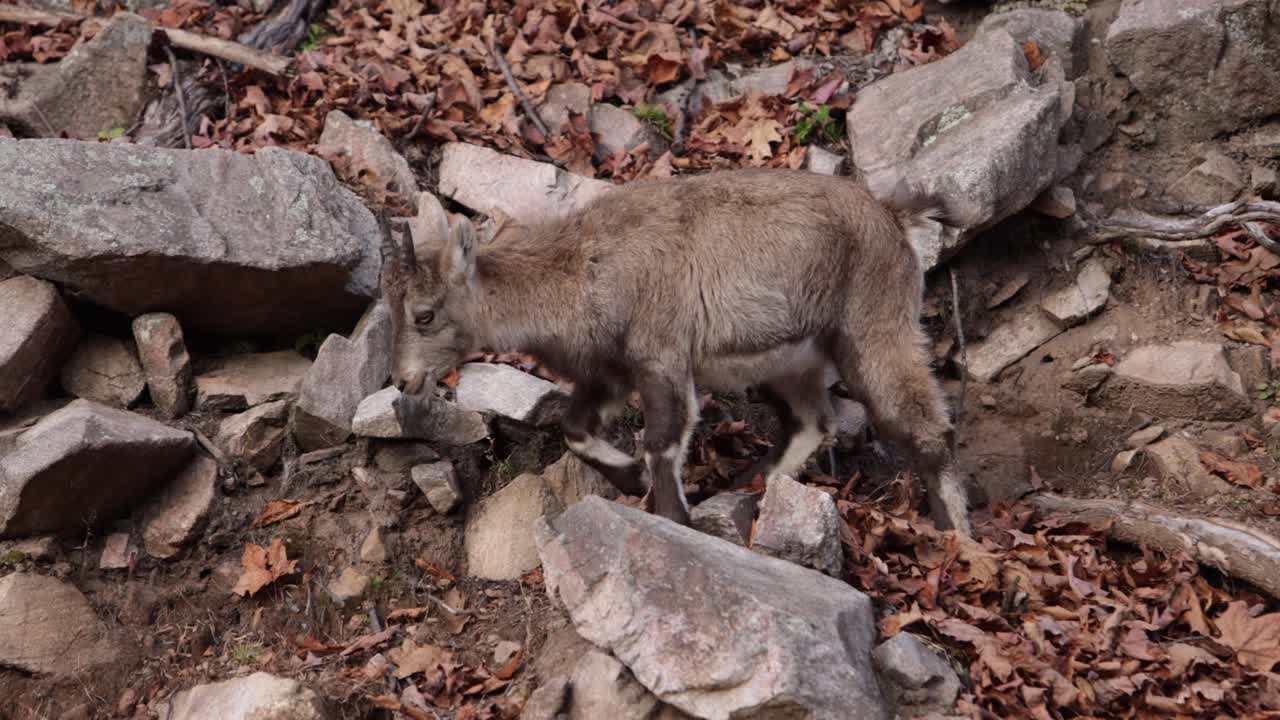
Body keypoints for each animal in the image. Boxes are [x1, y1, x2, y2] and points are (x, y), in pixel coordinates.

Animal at [379, 167, 970, 536]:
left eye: (424, 314)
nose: (403, 381)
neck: (582, 269)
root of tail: (894, 218)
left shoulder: (661, 356)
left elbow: (662, 442)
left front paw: (671, 517)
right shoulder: (609, 373)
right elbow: (576, 430)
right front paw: (631, 478)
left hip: (874, 329)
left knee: (925, 427)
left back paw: (955, 534)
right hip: (791, 361)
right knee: (813, 421)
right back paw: (756, 486)